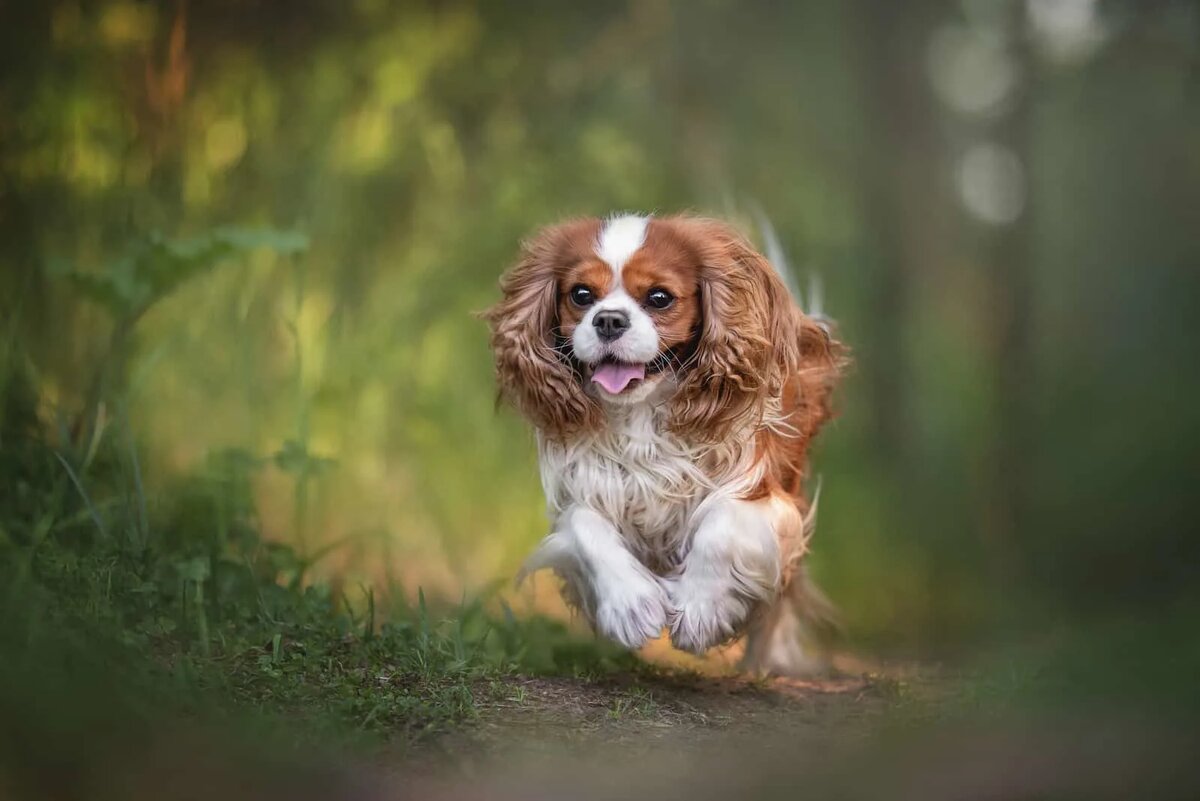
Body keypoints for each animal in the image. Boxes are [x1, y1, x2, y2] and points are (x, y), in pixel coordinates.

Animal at [484, 214, 844, 676]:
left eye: (659, 298)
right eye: (581, 295)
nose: (609, 320)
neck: (641, 416)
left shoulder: (766, 495)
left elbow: (723, 523)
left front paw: (700, 610)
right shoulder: (581, 489)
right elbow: (585, 525)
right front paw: (630, 606)